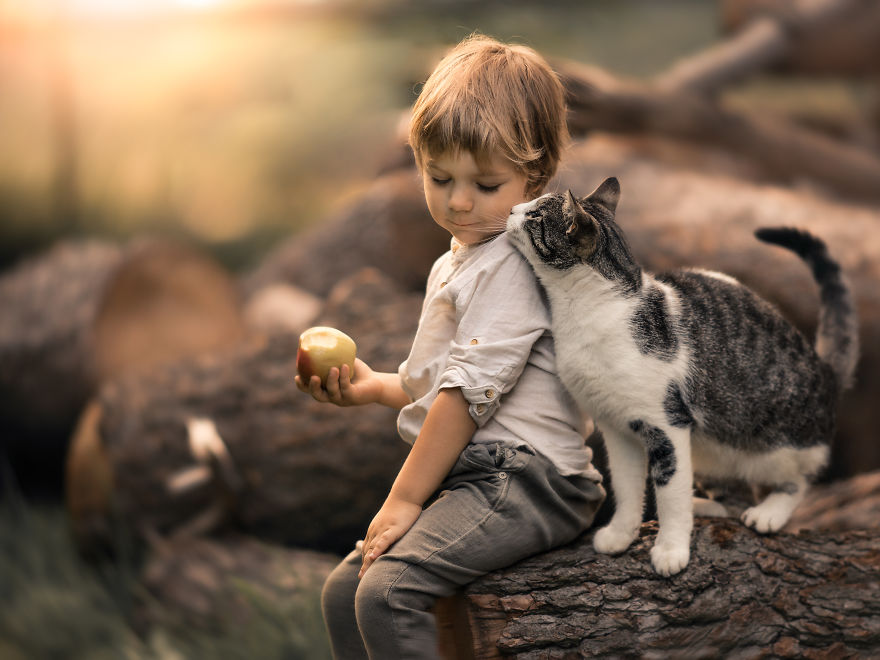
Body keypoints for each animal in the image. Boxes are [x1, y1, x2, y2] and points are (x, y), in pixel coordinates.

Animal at [506, 178, 856, 576]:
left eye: (535, 214)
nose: (512, 209)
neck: (588, 312)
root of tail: (826, 369)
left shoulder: (667, 424)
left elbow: (669, 491)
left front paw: (671, 548)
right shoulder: (617, 428)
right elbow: (627, 487)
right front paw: (621, 535)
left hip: (777, 446)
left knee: (799, 480)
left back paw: (768, 513)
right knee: (733, 496)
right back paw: (705, 506)